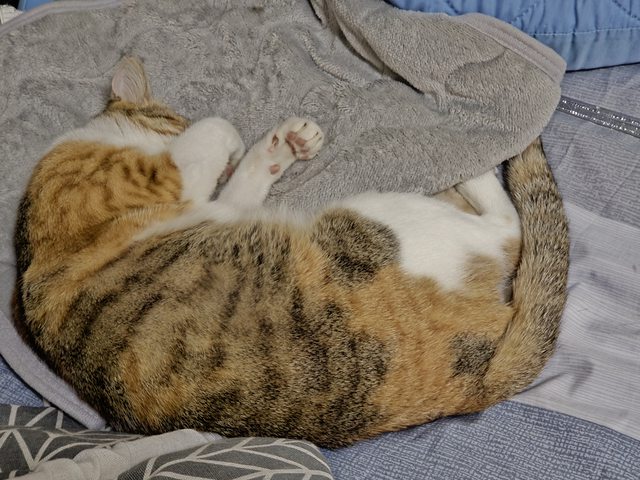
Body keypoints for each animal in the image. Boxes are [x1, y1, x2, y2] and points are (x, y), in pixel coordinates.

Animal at [13, 57, 568, 448]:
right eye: (174, 117)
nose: (231, 159)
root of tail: (478, 385)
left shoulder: (215, 207)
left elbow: (239, 185)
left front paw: (277, 148)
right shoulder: (156, 181)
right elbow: (212, 131)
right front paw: (237, 140)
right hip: (379, 221)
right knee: (509, 232)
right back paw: (475, 172)